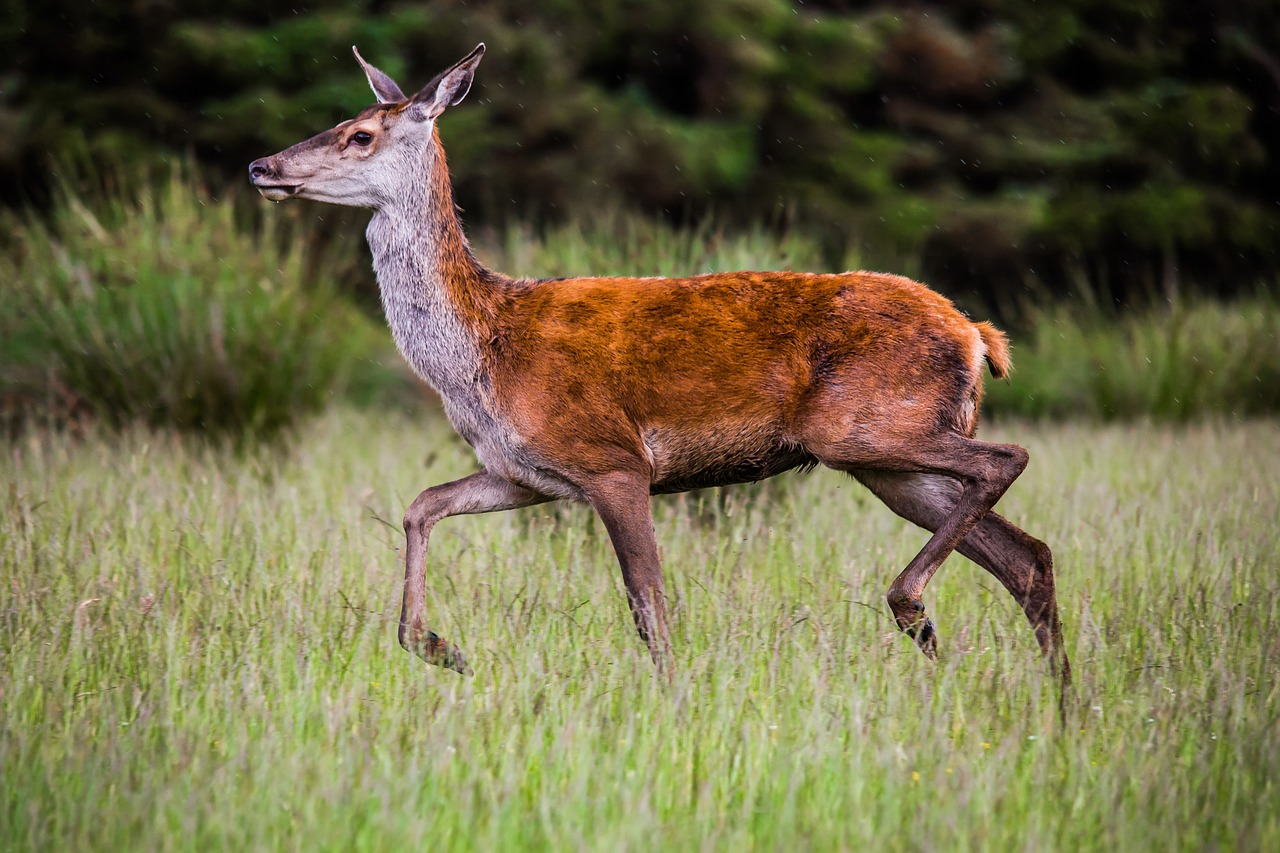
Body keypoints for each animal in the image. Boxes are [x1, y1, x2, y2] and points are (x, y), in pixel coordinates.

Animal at [249, 43, 1070, 686]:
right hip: (887, 461)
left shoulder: (612, 459)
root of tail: (978, 336)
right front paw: (439, 647)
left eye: (359, 134)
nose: (262, 164)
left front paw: (671, 701)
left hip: (863, 427)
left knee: (1008, 459)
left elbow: (649, 605)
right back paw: (1061, 704)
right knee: (1026, 553)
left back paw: (915, 611)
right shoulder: (524, 471)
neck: (485, 352)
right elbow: (421, 504)